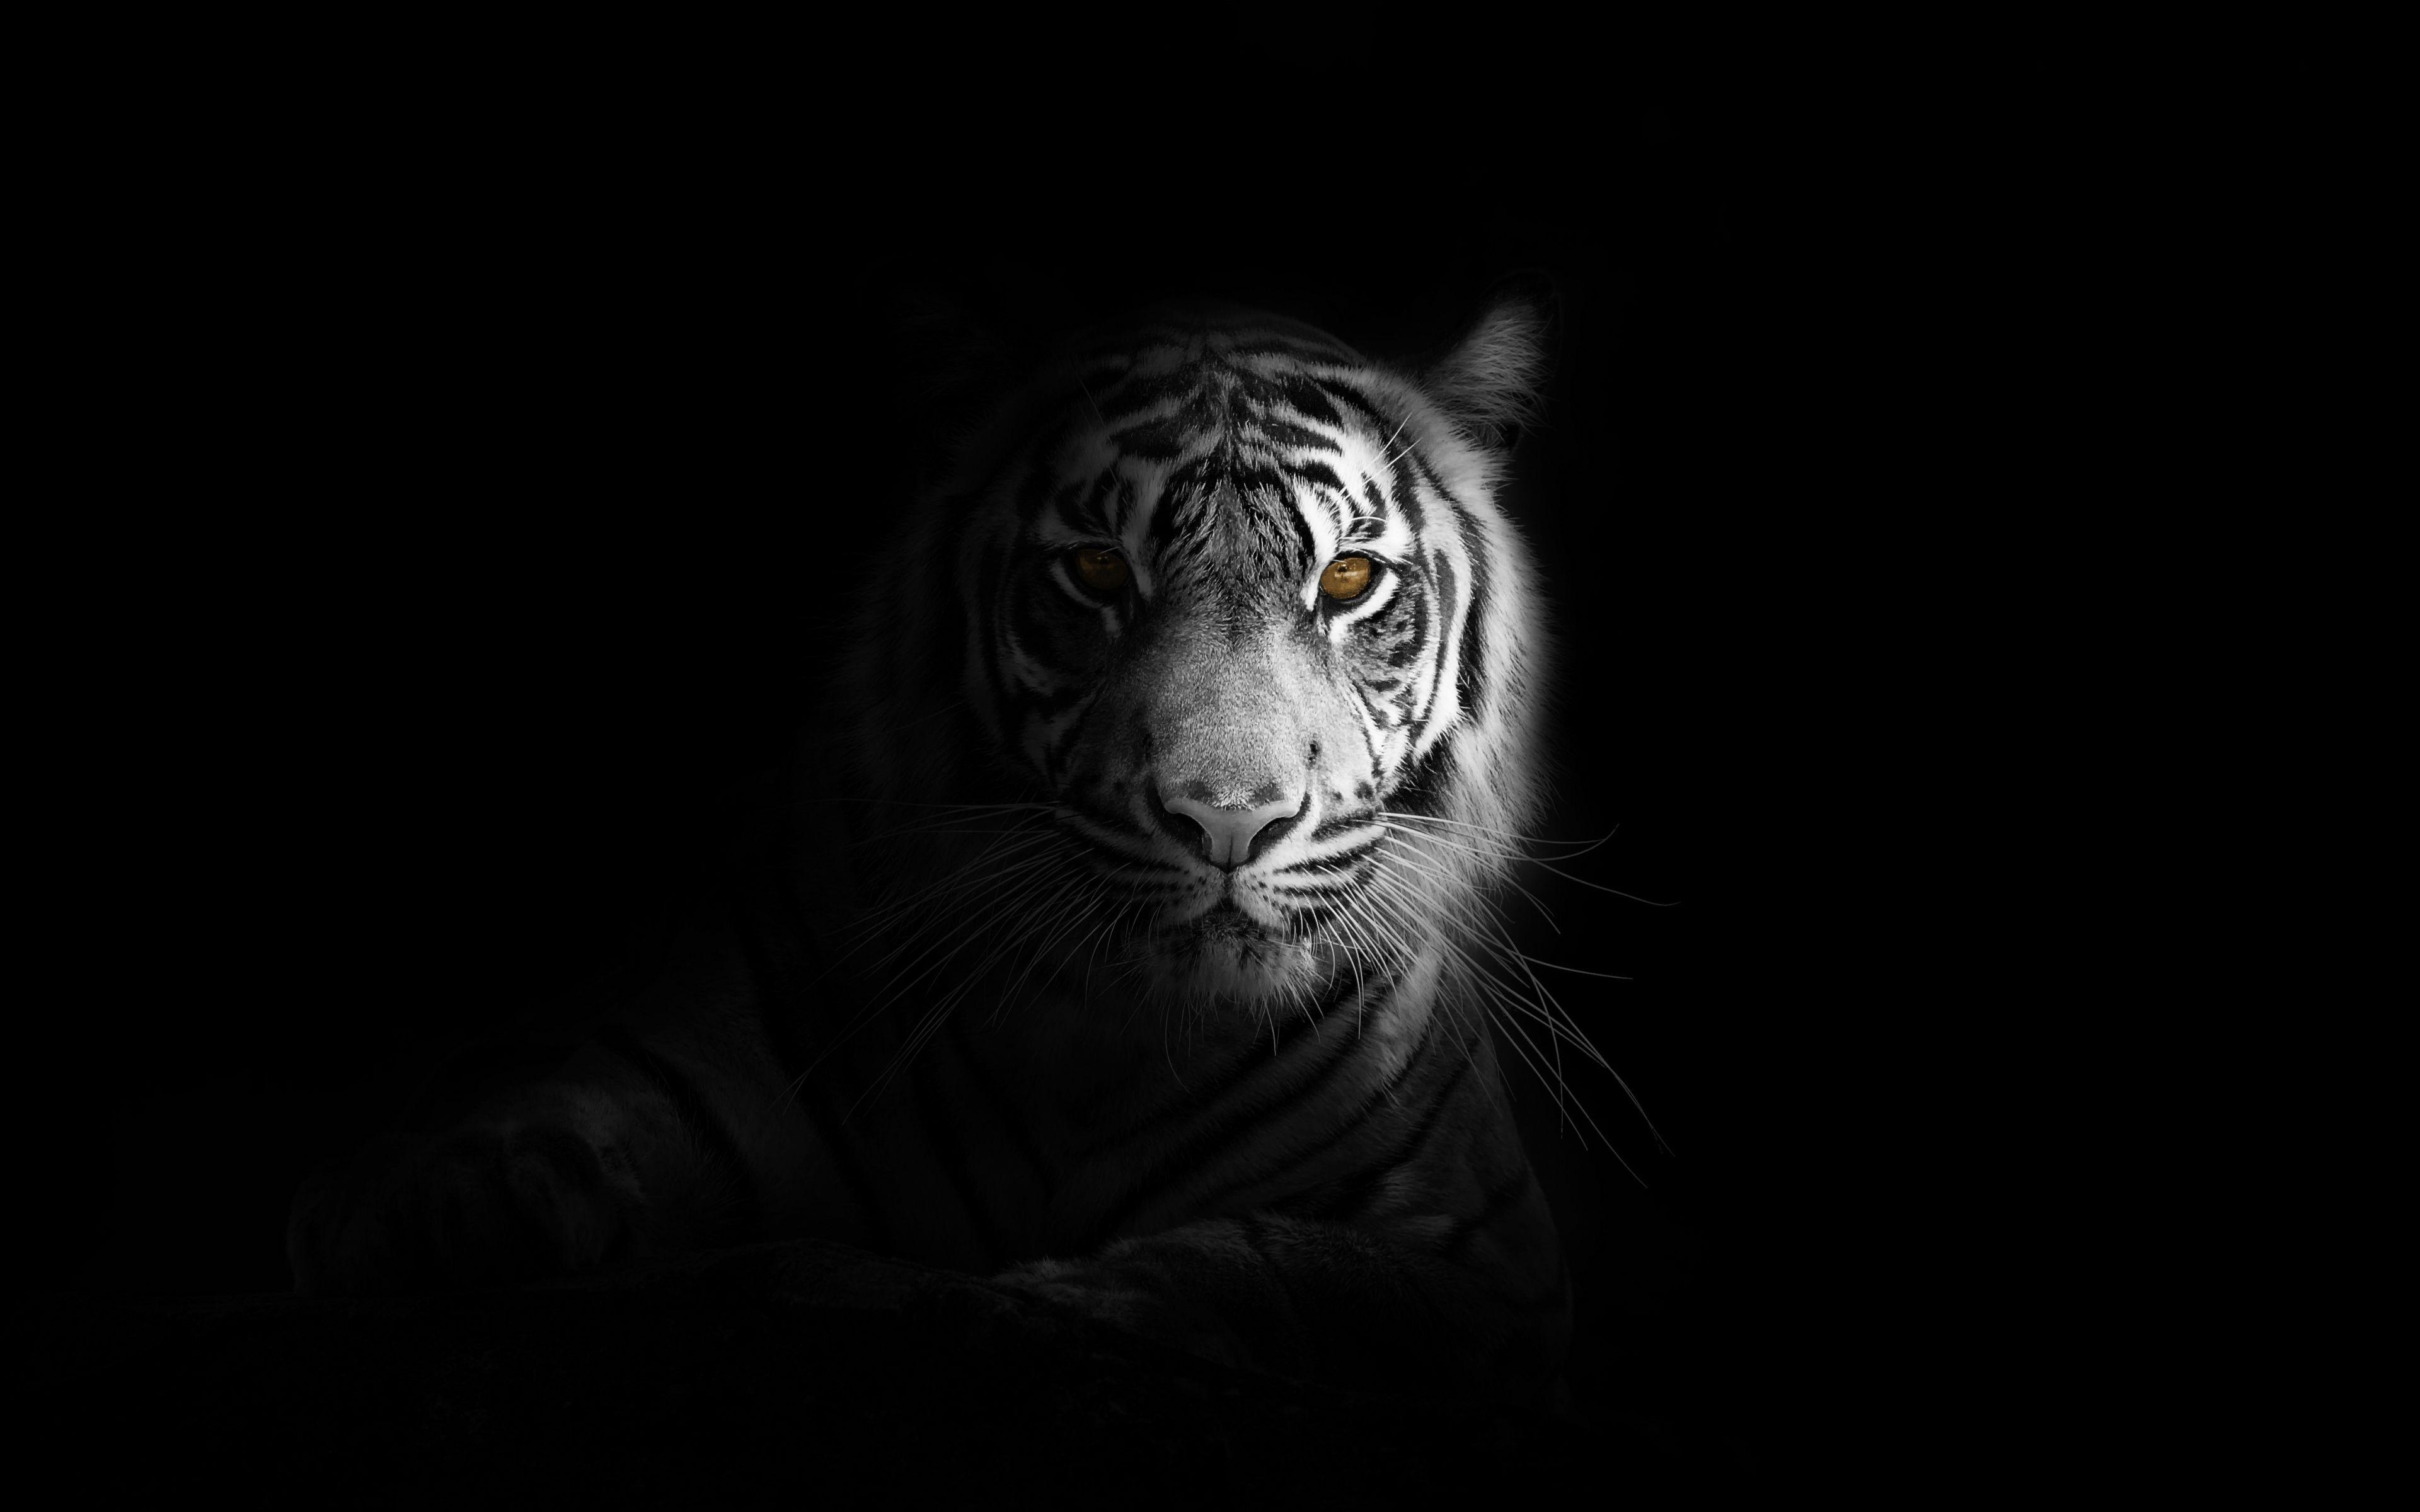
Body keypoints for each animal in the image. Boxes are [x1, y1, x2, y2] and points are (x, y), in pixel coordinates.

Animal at [288, 294, 1604, 1403]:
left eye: (1347, 579)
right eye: (1096, 570)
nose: (1227, 817)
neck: (1106, 1042)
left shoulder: (1493, 1264)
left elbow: (1278, 1264)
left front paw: (1061, 1301)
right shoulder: (671, 1061)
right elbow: (507, 1147)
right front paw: (444, 1225)